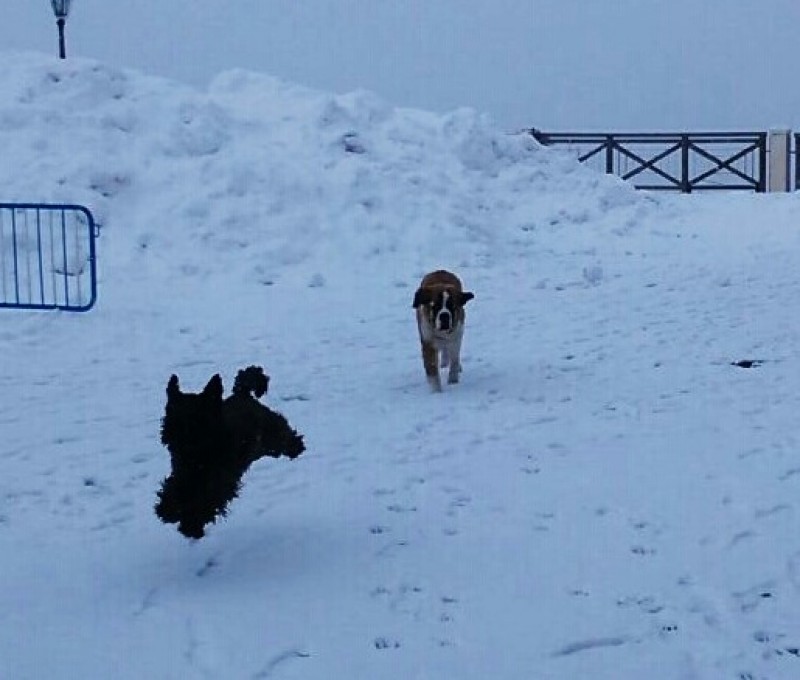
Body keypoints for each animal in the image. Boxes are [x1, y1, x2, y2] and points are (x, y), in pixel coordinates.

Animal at [155, 364, 304, 540]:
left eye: (197, 420)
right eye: (172, 415)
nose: (173, 435)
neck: (201, 453)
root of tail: (243, 393)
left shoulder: (223, 479)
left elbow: (208, 498)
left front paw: (192, 523)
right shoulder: (183, 471)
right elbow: (174, 486)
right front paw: (168, 508)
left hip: (272, 433)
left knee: (286, 435)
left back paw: (297, 447)